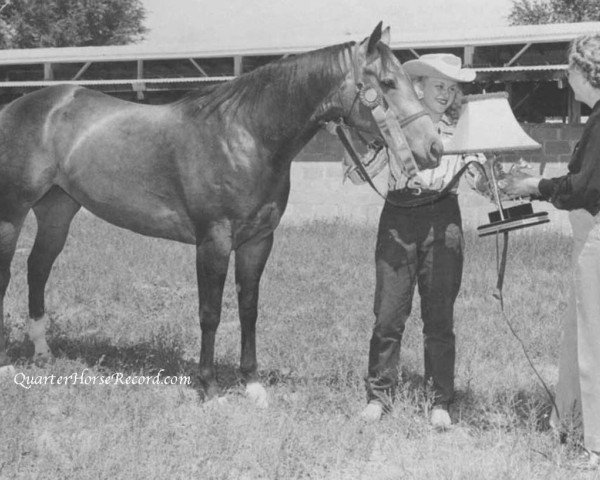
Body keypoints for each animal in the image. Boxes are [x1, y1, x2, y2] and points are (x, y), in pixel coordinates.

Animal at [0, 24, 440, 404]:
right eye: (388, 83)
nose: (434, 147)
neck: (245, 136)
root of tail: (25, 105)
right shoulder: (213, 241)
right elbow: (210, 312)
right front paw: (209, 387)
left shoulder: (257, 241)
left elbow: (249, 308)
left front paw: (252, 383)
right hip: (13, 213)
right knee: (9, 273)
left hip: (57, 209)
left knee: (38, 267)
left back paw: (42, 351)